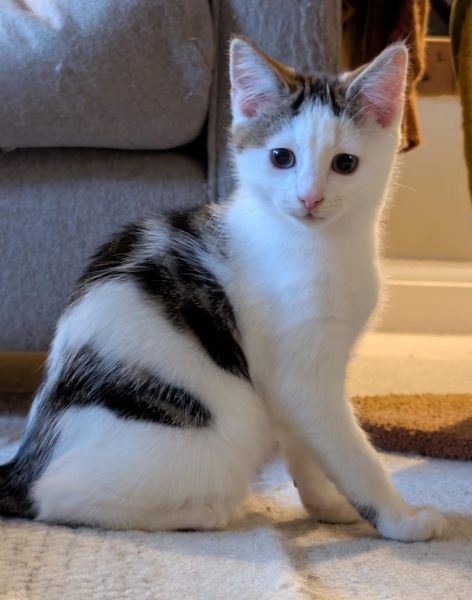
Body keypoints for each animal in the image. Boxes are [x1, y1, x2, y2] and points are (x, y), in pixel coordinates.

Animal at [0, 36, 446, 541]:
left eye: (345, 163)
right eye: (281, 157)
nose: (309, 198)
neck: (322, 245)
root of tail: (26, 462)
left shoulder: (292, 379)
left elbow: (306, 446)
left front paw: (326, 504)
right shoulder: (302, 378)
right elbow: (353, 455)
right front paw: (401, 520)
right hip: (222, 432)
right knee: (57, 496)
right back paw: (200, 512)